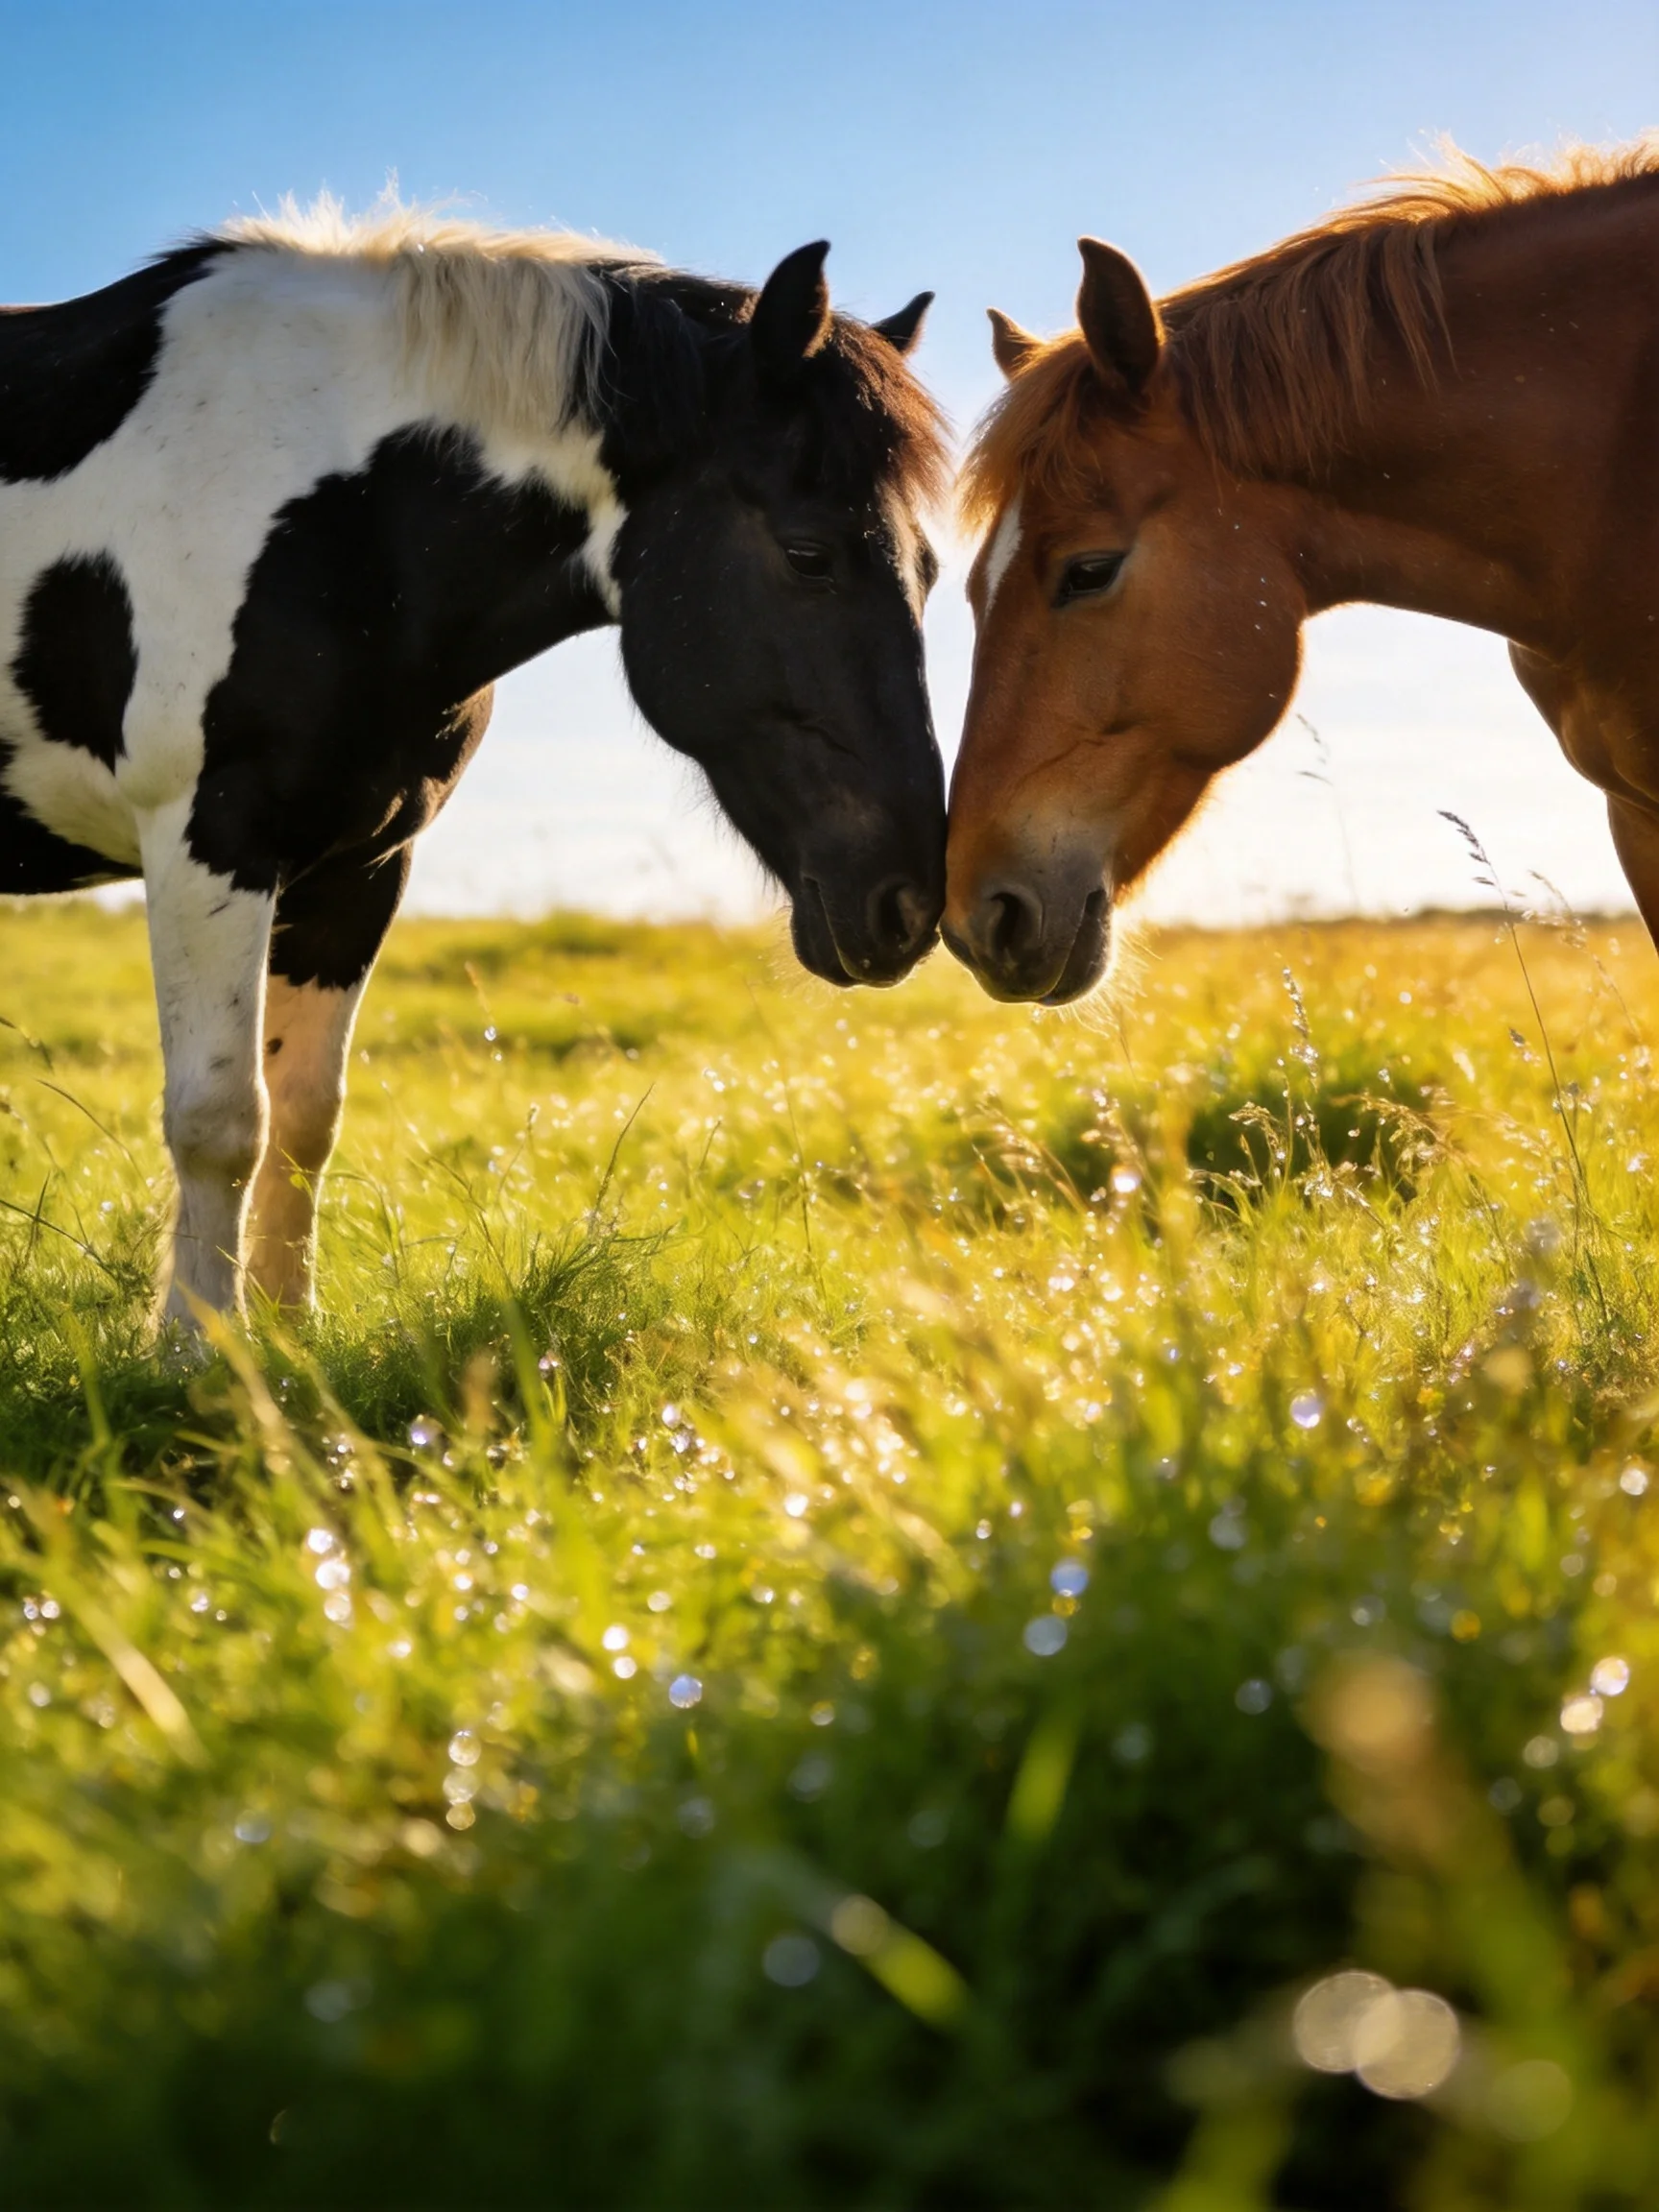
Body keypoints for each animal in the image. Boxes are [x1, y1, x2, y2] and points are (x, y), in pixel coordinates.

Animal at [0, 202, 948, 1322]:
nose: (910, 906)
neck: (345, 517)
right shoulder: (207, 836)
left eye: (931, 569)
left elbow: (305, 1119)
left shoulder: (359, 867)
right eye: (808, 555)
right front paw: (199, 1347)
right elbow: (221, 1120)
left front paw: (284, 1333)